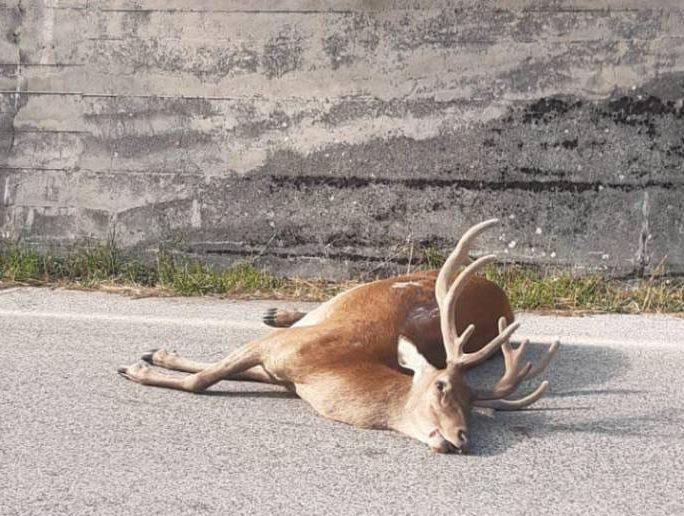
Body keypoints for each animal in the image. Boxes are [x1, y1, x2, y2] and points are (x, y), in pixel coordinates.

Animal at [118, 219, 559, 454]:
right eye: (441, 387)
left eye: (472, 403)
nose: (460, 439)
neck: (324, 371)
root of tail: (504, 298)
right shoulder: (279, 348)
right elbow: (202, 379)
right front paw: (138, 366)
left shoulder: (287, 372)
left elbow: (218, 371)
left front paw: (155, 355)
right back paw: (277, 312)